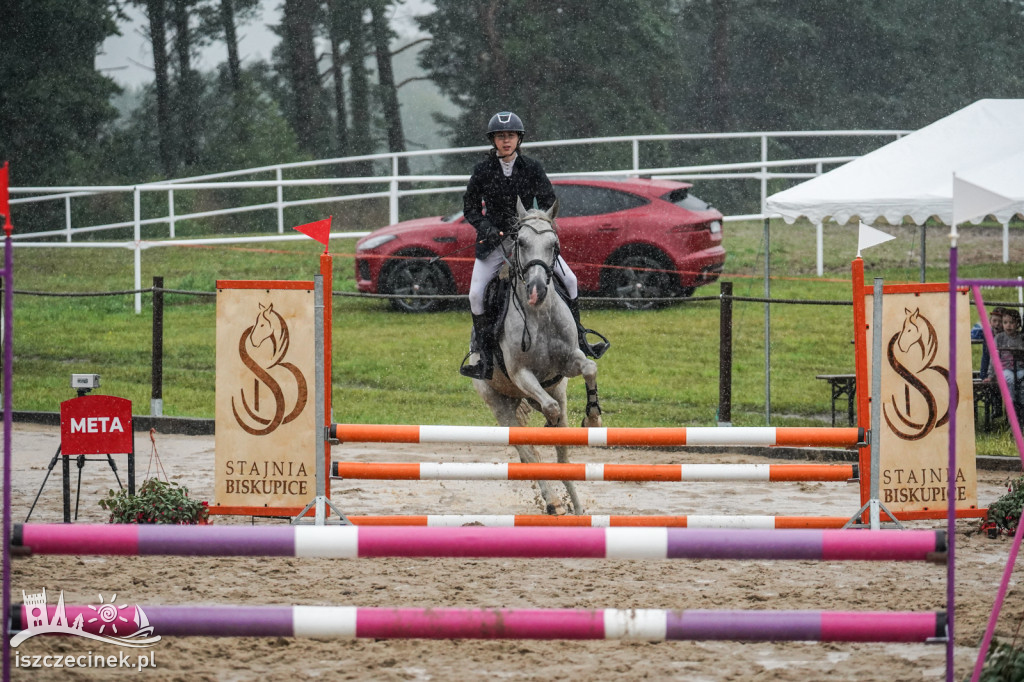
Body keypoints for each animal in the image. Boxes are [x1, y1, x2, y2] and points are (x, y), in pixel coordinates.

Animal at [473, 199, 602, 512]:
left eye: (554, 245)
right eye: (520, 242)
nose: (537, 290)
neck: (540, 314)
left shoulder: (569, 362)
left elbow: (590, 369)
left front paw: (593, 419)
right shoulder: (522, 375)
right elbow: (549, 411)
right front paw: (548, 421)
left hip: (556, 389)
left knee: (563, 457)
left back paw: (577, 508)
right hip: (499, 404)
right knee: (528, 450)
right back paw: (554, 502)